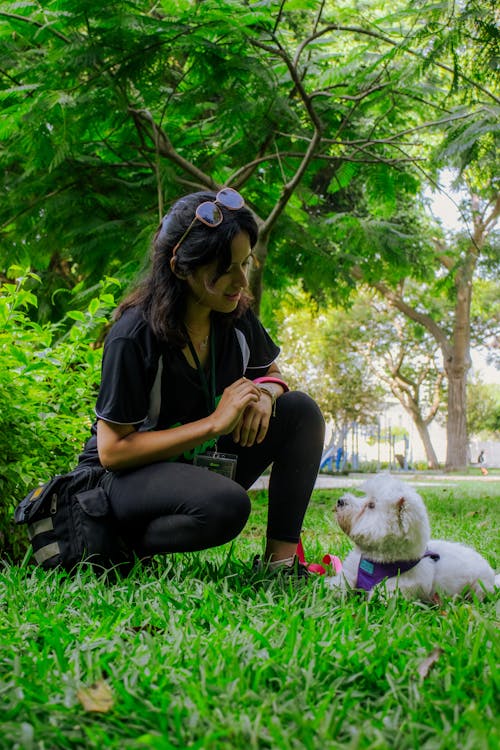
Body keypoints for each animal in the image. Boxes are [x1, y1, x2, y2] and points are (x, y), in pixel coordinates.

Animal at [324, 476, 496, 604]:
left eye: (371, 505)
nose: (340, 501)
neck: (377, 560)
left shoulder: (397, 586)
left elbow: (381, 597)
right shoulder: (350, 572)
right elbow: (340, 584)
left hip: (479, 586)